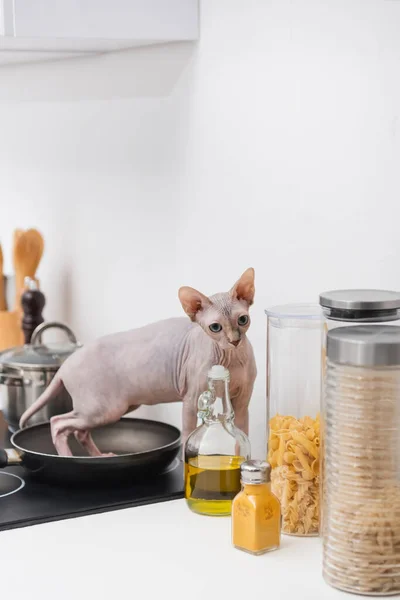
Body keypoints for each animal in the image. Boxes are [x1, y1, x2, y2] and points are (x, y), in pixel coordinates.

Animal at [19, 268, 256, 454]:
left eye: (243, 320)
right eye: (215, 327)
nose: (234, 340)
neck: (231, 359)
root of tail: (66, 363)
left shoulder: (243, 401)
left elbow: (242, 433)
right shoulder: (191, 400)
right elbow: (188, 434)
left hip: (115, 407)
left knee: (79, 431)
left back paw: (99, 456)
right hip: (102, 409)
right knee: (58, 423)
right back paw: (68, 457)